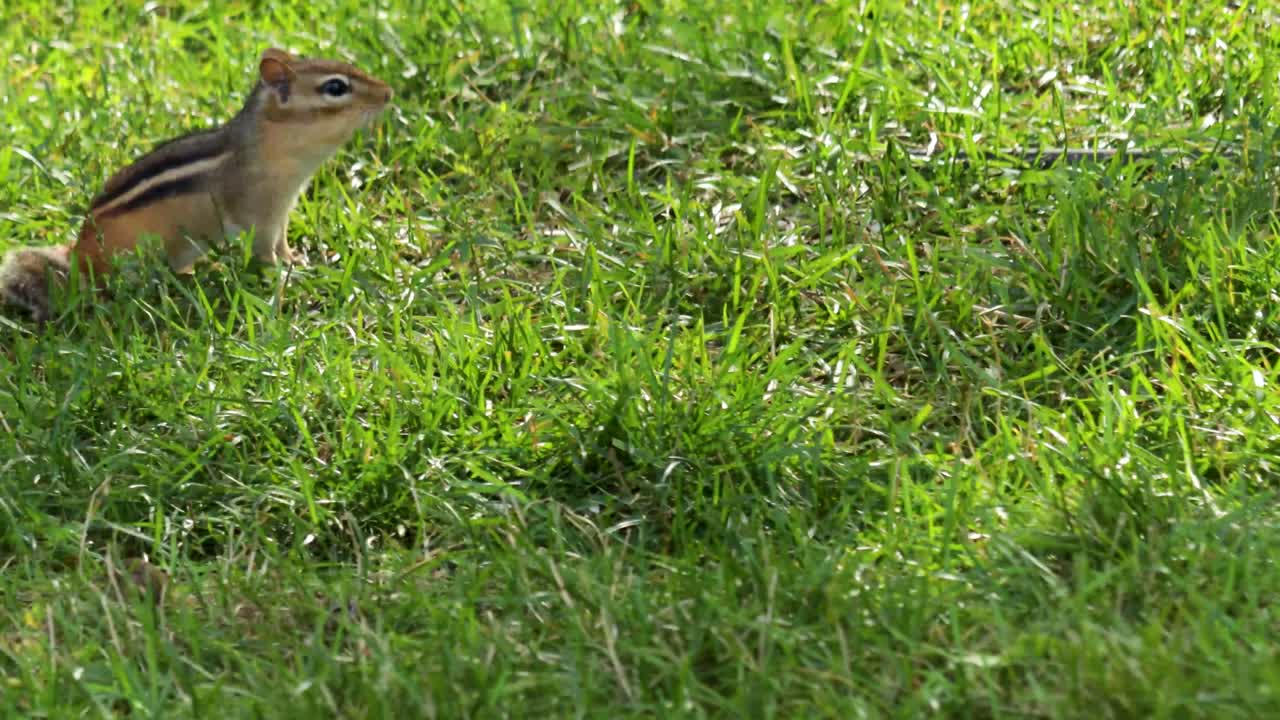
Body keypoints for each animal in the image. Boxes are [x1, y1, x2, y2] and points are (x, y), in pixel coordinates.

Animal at [0, 47, 393, 324]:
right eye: (336, 87)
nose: (388, 93)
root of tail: (78, 254)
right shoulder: (258, 215)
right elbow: (266, 253)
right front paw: (285, 277)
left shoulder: (280, 212)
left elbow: (281, 243)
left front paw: (296, 259)